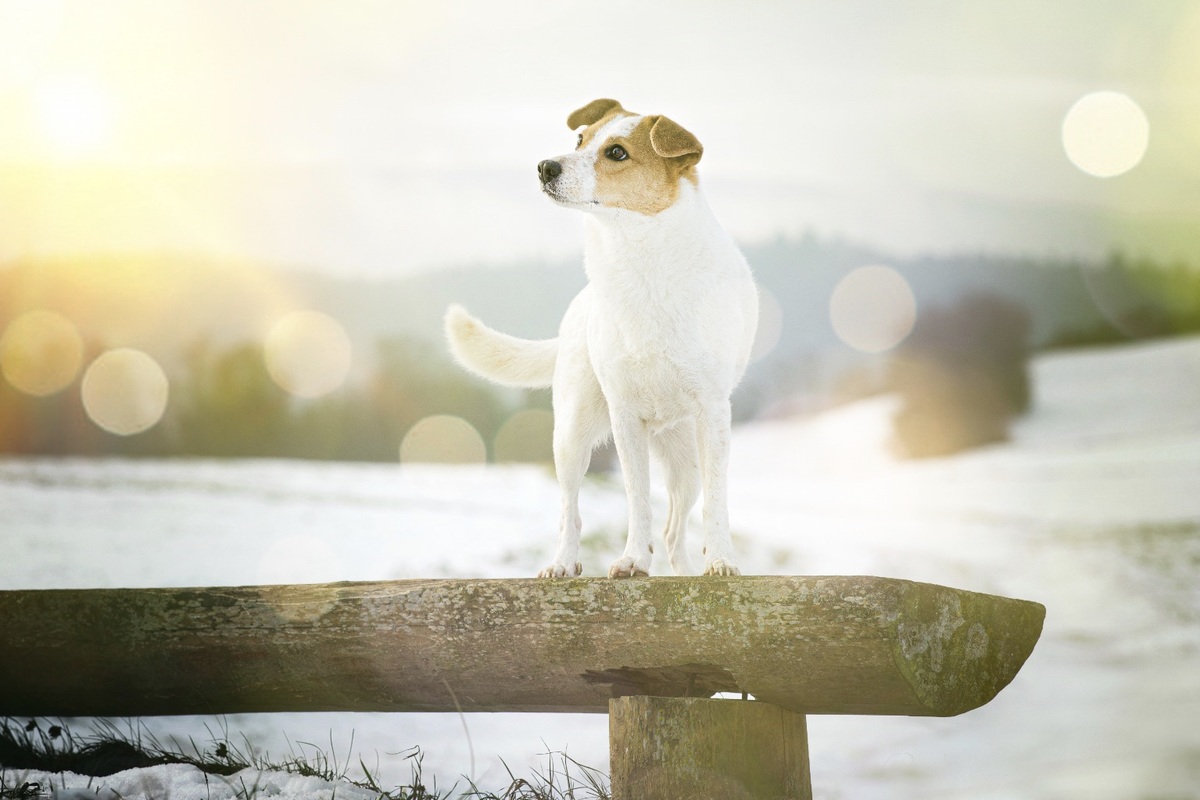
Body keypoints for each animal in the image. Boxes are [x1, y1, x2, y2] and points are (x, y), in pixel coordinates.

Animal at [446, 97, 753, 578]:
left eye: (617, 153)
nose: (545, 166)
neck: (639, 258)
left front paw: (721, 560)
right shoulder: (625, 417)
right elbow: (636, 499)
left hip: (686, 458)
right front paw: (632, 559)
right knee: (570, 511)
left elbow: (715, 501)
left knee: (675, 528)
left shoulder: (713, 414)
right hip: (571, 435)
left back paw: (684, 573)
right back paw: (562, 564)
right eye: (580, 139)